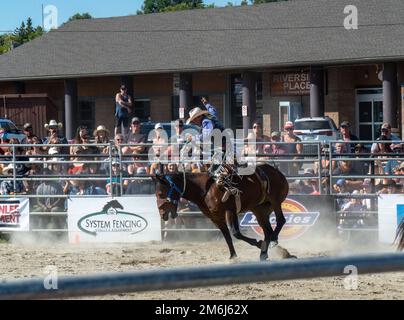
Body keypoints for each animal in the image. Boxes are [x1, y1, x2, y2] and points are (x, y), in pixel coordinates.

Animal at [155, 164, 290, 262]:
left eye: (160, 194)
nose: (162, 214)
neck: (206, 190)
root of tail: (278, 173)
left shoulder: (230, 211)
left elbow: (235, 233)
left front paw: (258, 243)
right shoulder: (216, 218)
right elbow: (227, 236)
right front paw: (233, 256)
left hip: (275, 202)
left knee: (280, 221)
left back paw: (272, 242)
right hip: (259, 210)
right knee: (267, 230)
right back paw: (265, 253)